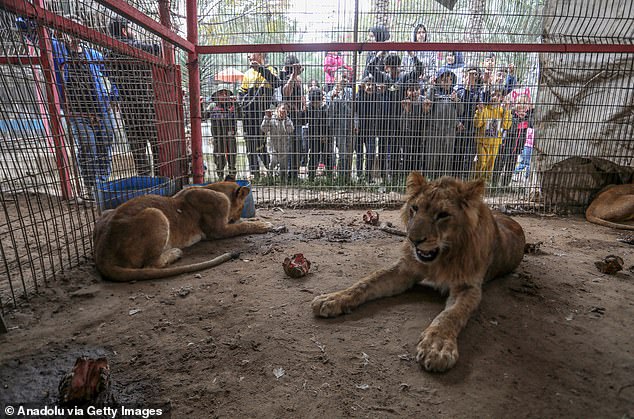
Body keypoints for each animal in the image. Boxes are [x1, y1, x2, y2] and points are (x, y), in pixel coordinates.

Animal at [94, 180, 272, 282]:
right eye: (241, 207)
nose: (236, 217)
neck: (216, 189)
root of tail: (102, 254)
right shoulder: (217, 230)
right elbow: (242, 226)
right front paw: (264, 226)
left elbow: (245, 222)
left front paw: (258, 220)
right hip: (155, 214)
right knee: (150, 265)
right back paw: (175, 253)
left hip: (107, 212)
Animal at [310, 172, 524, 372]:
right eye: (414, 208)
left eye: (443, 214)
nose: (413, 240)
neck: (440, 259)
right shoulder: (405, 269)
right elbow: (367, 281)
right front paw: (332, 298)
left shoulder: (468, 287)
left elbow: (450, 315)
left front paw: (437, 346)